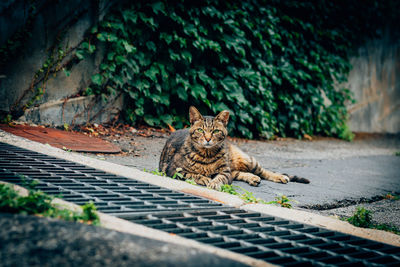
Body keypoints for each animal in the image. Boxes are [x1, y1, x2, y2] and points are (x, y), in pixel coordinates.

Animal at [159, 107, 310, 191]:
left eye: (215, 131)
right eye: (201, 130)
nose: (207, 139)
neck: (206, 154)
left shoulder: (225, 172)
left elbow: (219, 178)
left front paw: (213, 183)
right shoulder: (173, 169)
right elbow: (192, 174)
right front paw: (205, 178)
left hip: (247, 160)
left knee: (264, 171)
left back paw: (280, 177)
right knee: (239, 173)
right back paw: (252, 178)